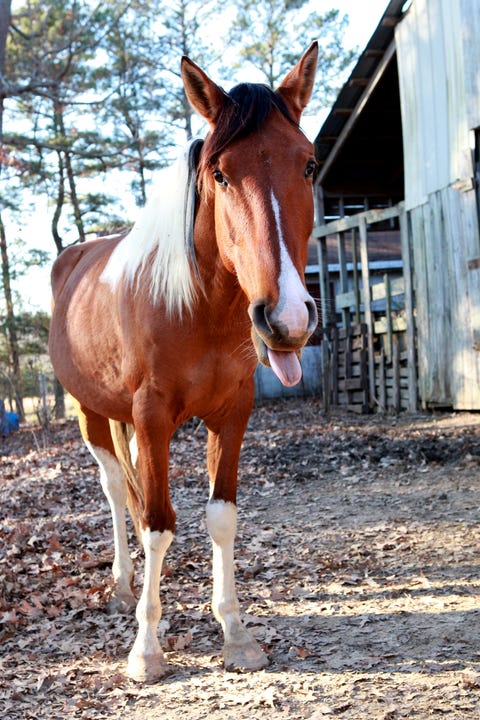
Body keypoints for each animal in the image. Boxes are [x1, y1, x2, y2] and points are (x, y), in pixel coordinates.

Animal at [48, 42, 318, 684]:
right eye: (220, 173)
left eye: (308, 165)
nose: (287, 317)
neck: (197, 307)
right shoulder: (151, 419)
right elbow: (157, 523)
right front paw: (146, 649)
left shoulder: (233, 414)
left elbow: (220, 517)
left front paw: (236, 635)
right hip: (91, 414)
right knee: (115, 489)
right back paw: (123, 588)